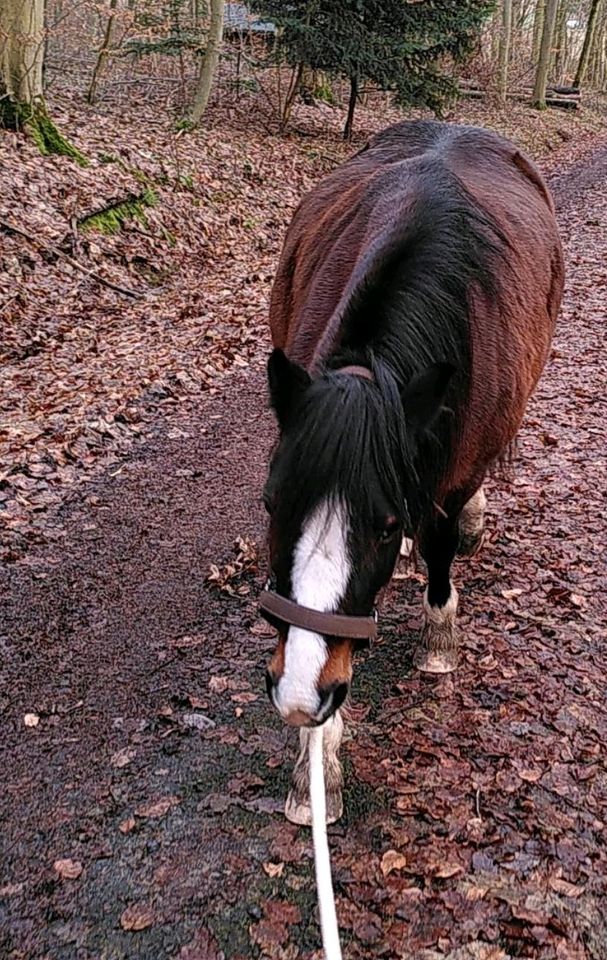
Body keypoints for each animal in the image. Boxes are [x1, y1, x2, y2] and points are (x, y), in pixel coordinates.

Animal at [258, 120, 564, 824]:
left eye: (383, 520)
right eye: (271, 504)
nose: (299, 693)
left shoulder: (453, 474)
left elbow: (441, 545)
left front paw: (438, 639)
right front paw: (316, 769)